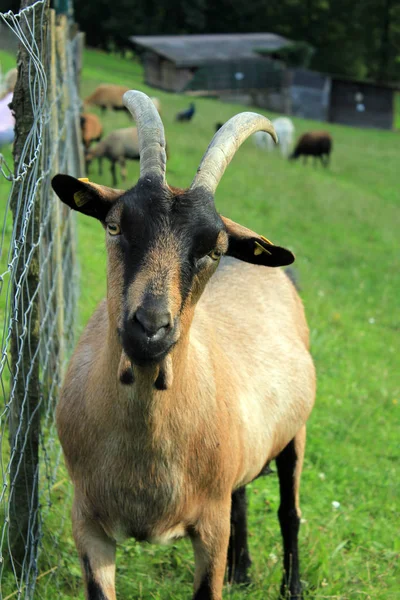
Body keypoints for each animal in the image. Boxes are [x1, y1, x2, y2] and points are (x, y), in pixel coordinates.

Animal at [51, 91, 316, 600]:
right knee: (241, 496)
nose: (150, 327)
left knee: (289, 511)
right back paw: (243, 570)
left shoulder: (208, 526)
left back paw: (291, 586)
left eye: (214, 248)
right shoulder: (87, 522)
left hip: (296, 431)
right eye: (114, 226)